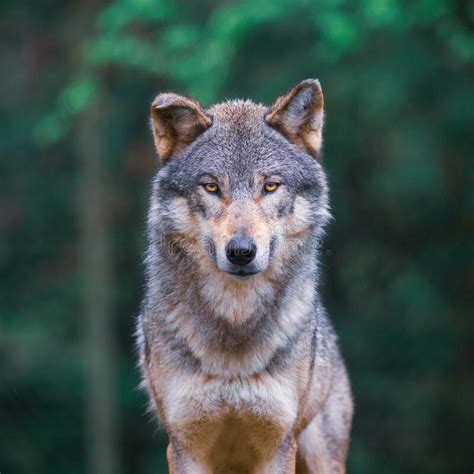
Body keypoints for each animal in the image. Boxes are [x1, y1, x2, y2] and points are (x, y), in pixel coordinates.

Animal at [136, 79, 352, 472]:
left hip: (320, 456)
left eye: (270, 186)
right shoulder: (185, 446)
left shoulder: (278, 445)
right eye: (211, 187)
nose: (240, 252)